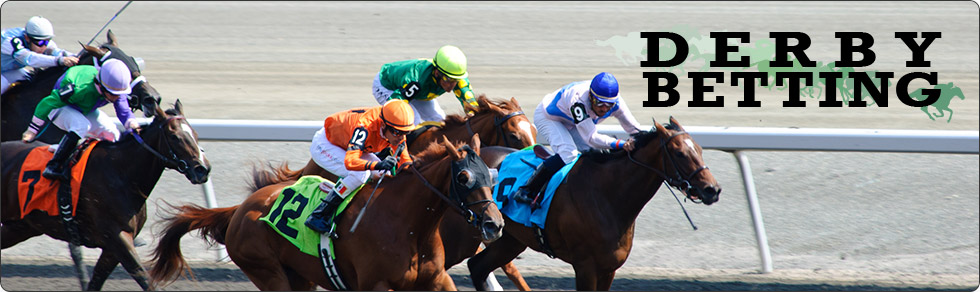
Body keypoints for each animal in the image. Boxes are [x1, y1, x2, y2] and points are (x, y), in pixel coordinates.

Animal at [0, 100, 209, 290]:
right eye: (175, 136)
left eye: (195, 134)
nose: (203, 169)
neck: (121, 173)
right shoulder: (117, 238)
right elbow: (145, 279)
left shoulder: (111, 249)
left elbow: (96, 282)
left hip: (22, 226)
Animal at [149, 135, 510, 290]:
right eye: (463, 177)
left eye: (491, 175)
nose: (494, 224)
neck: (410, 225)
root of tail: (241, 208)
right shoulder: (375, 285)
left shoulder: (436, 279)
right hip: (267, 271)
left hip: (300, 277)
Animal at [468, 116, 720, 290]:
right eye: (679, 153)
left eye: (699, 149)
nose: (713, 189)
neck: (607, 196)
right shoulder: (585, 266)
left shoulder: (609, 268)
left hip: (511, 239)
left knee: (477, 267)